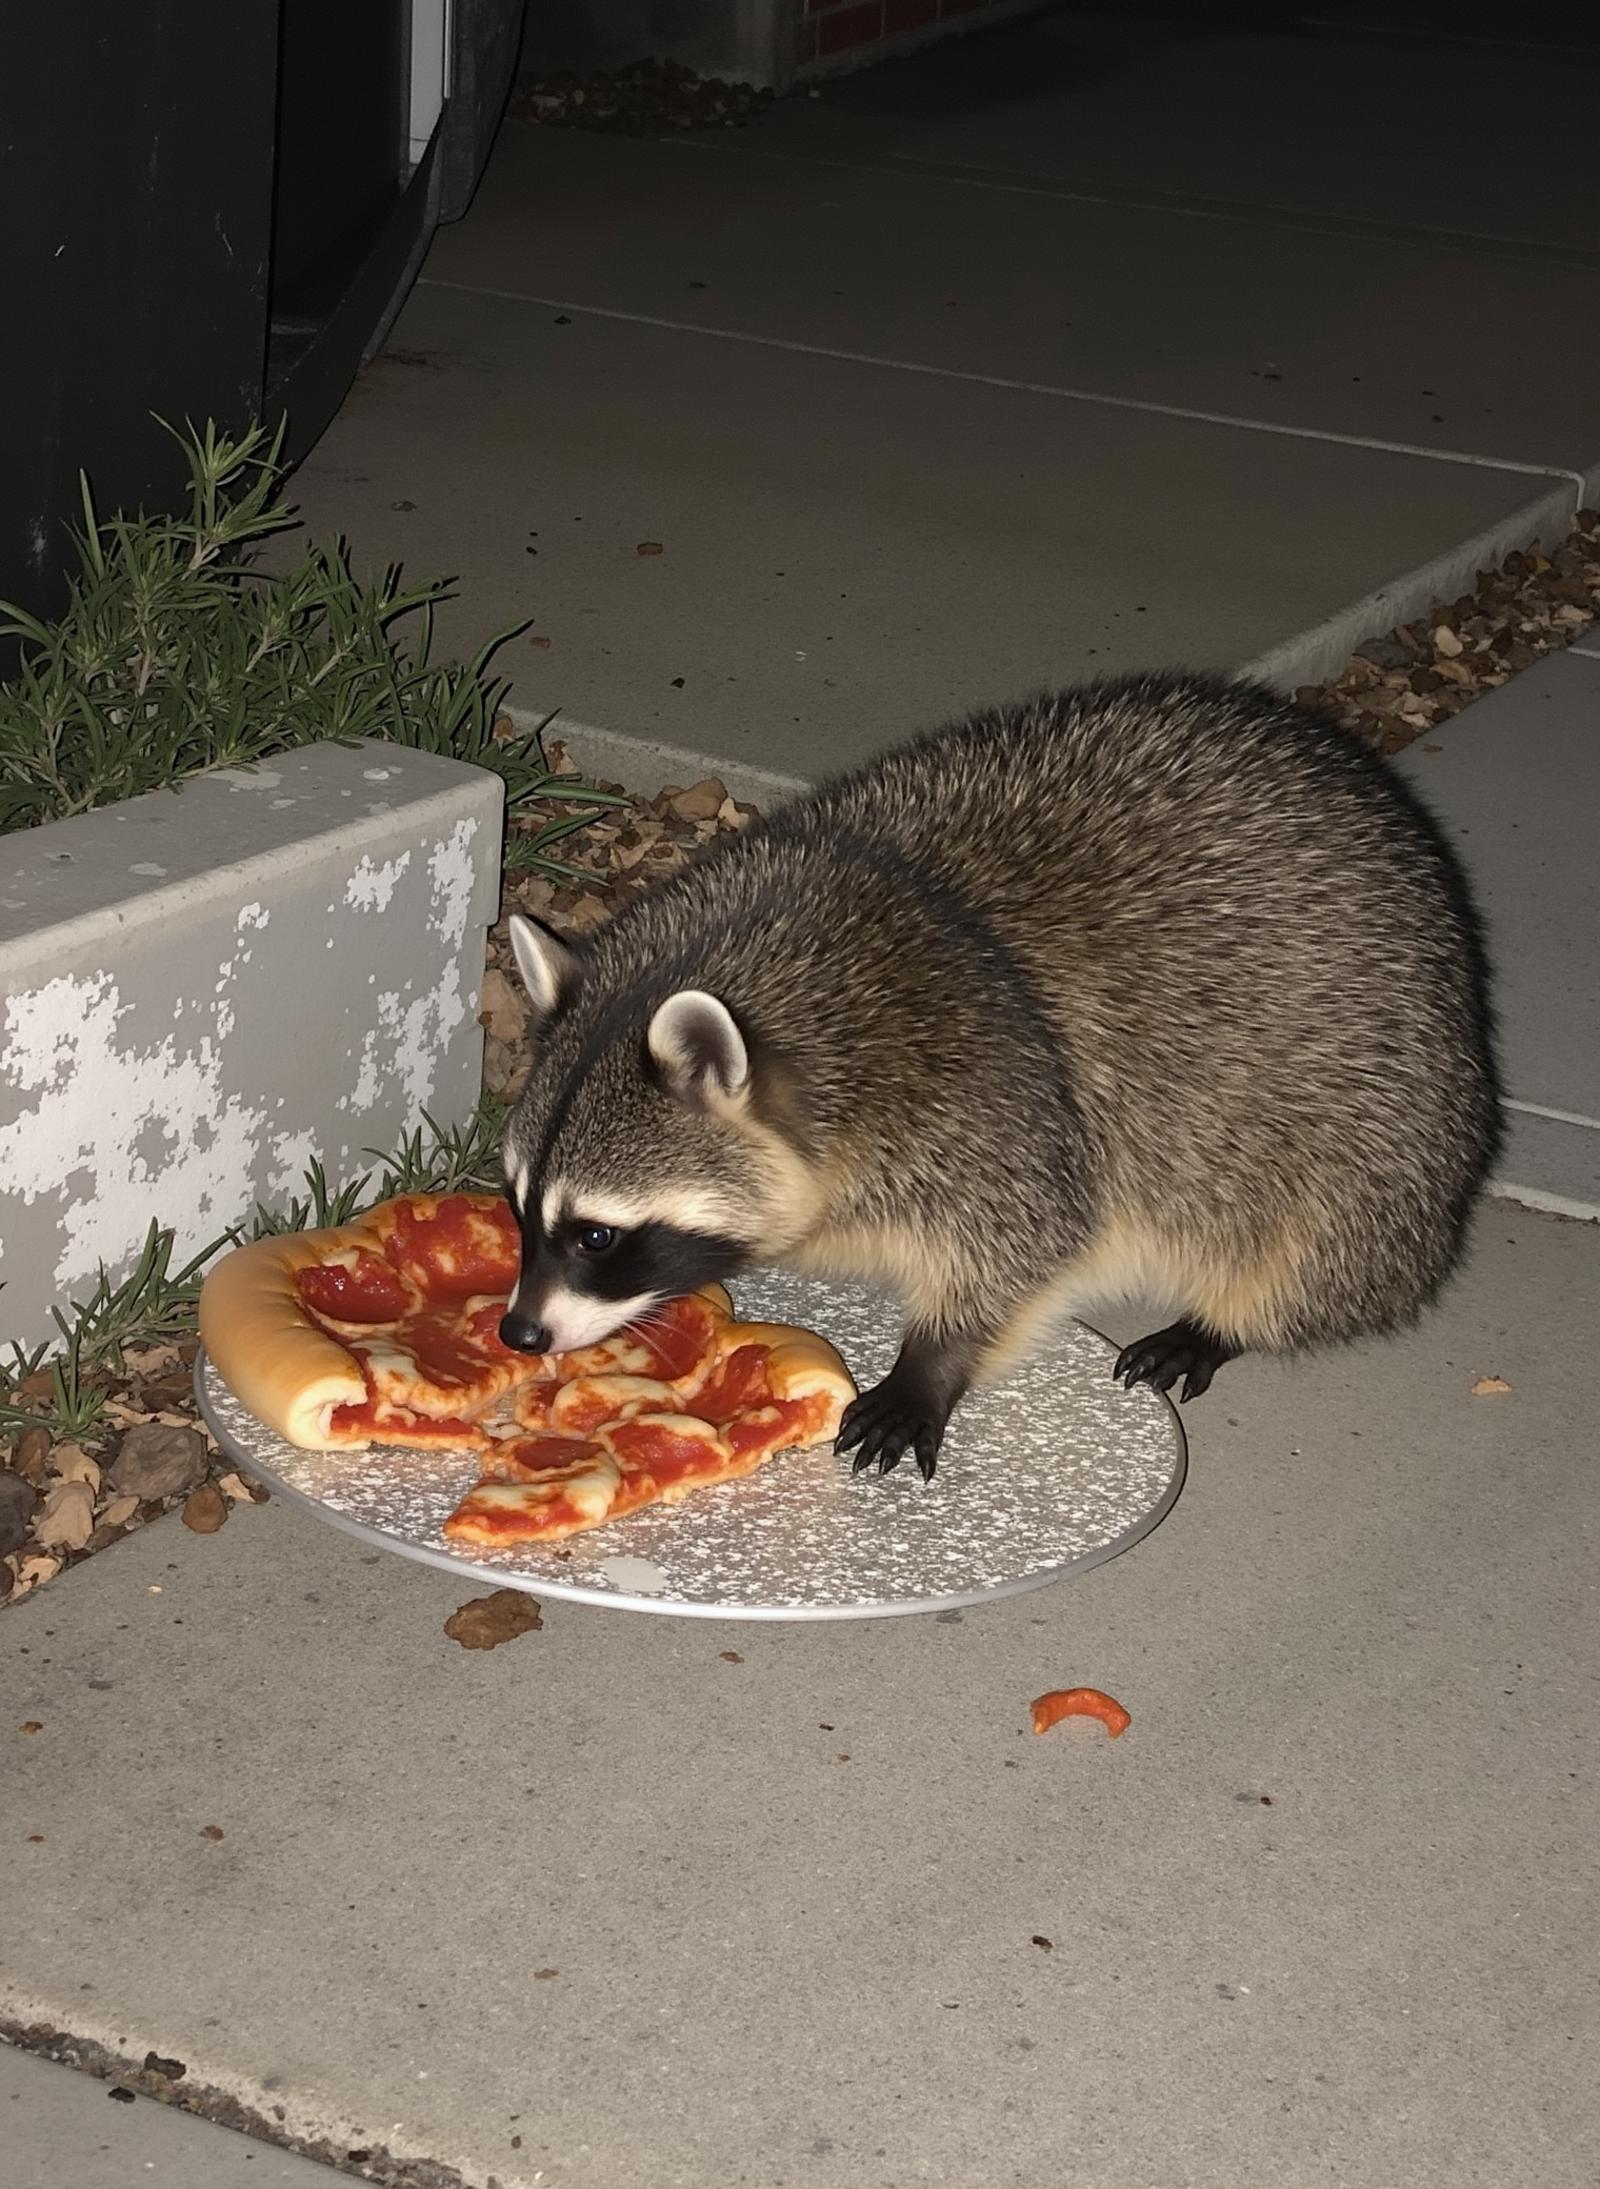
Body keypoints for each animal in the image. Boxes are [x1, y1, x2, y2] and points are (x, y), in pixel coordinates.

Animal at [501, 669, 1505, 1471]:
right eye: (517, 1206)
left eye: (598, 1235)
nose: (517, 1331)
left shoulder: (995, 1096)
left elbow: (1022, 1247)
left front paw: (929, 1362)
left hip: (1379, 1122)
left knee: (1321, 1246)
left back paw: (1223, 1319)